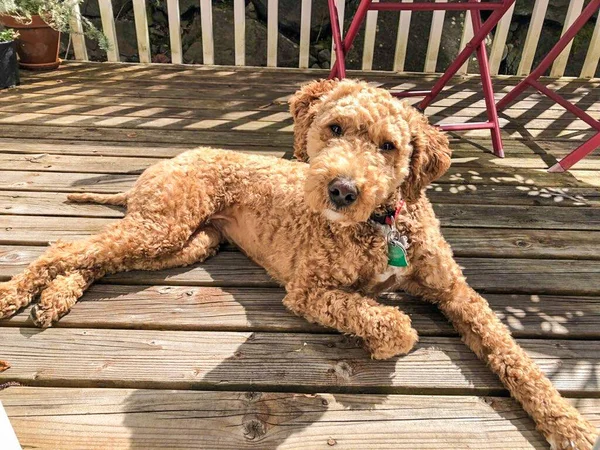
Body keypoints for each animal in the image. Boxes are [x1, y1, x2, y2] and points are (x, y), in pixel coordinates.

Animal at [2, 79, 596, 448]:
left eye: (388, 145)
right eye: (334, 128)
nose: (341, 190)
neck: (383, 224)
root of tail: (167, 162)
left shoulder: (454, 291)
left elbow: (512, 355)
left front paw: (565, 423)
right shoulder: (309, 291)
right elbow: (391, 323)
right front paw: (384, 339)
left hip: (185, 243)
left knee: (94, 258)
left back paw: (55, 298)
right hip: (163, 226)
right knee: (67, 248)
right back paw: (17, 293)